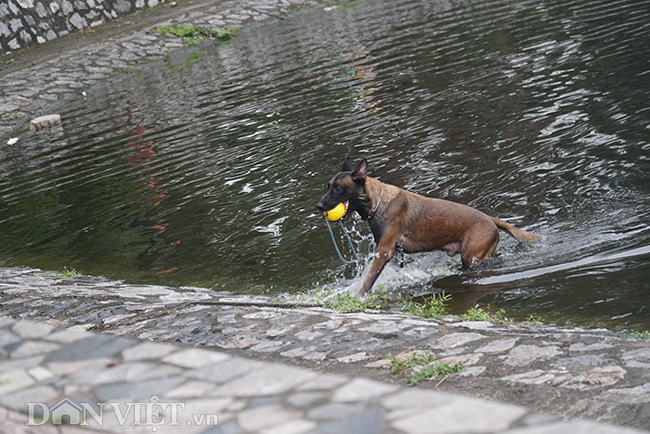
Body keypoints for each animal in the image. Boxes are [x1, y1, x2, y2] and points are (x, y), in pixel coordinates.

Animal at [316, 158, 544, 296]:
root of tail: (490, 219)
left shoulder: (384, 251)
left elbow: (368, 280)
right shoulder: (395, 254)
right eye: (328, 186)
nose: (319, 205)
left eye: (338, 188)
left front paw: (358, 296)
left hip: (471, 257)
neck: (378, 202)